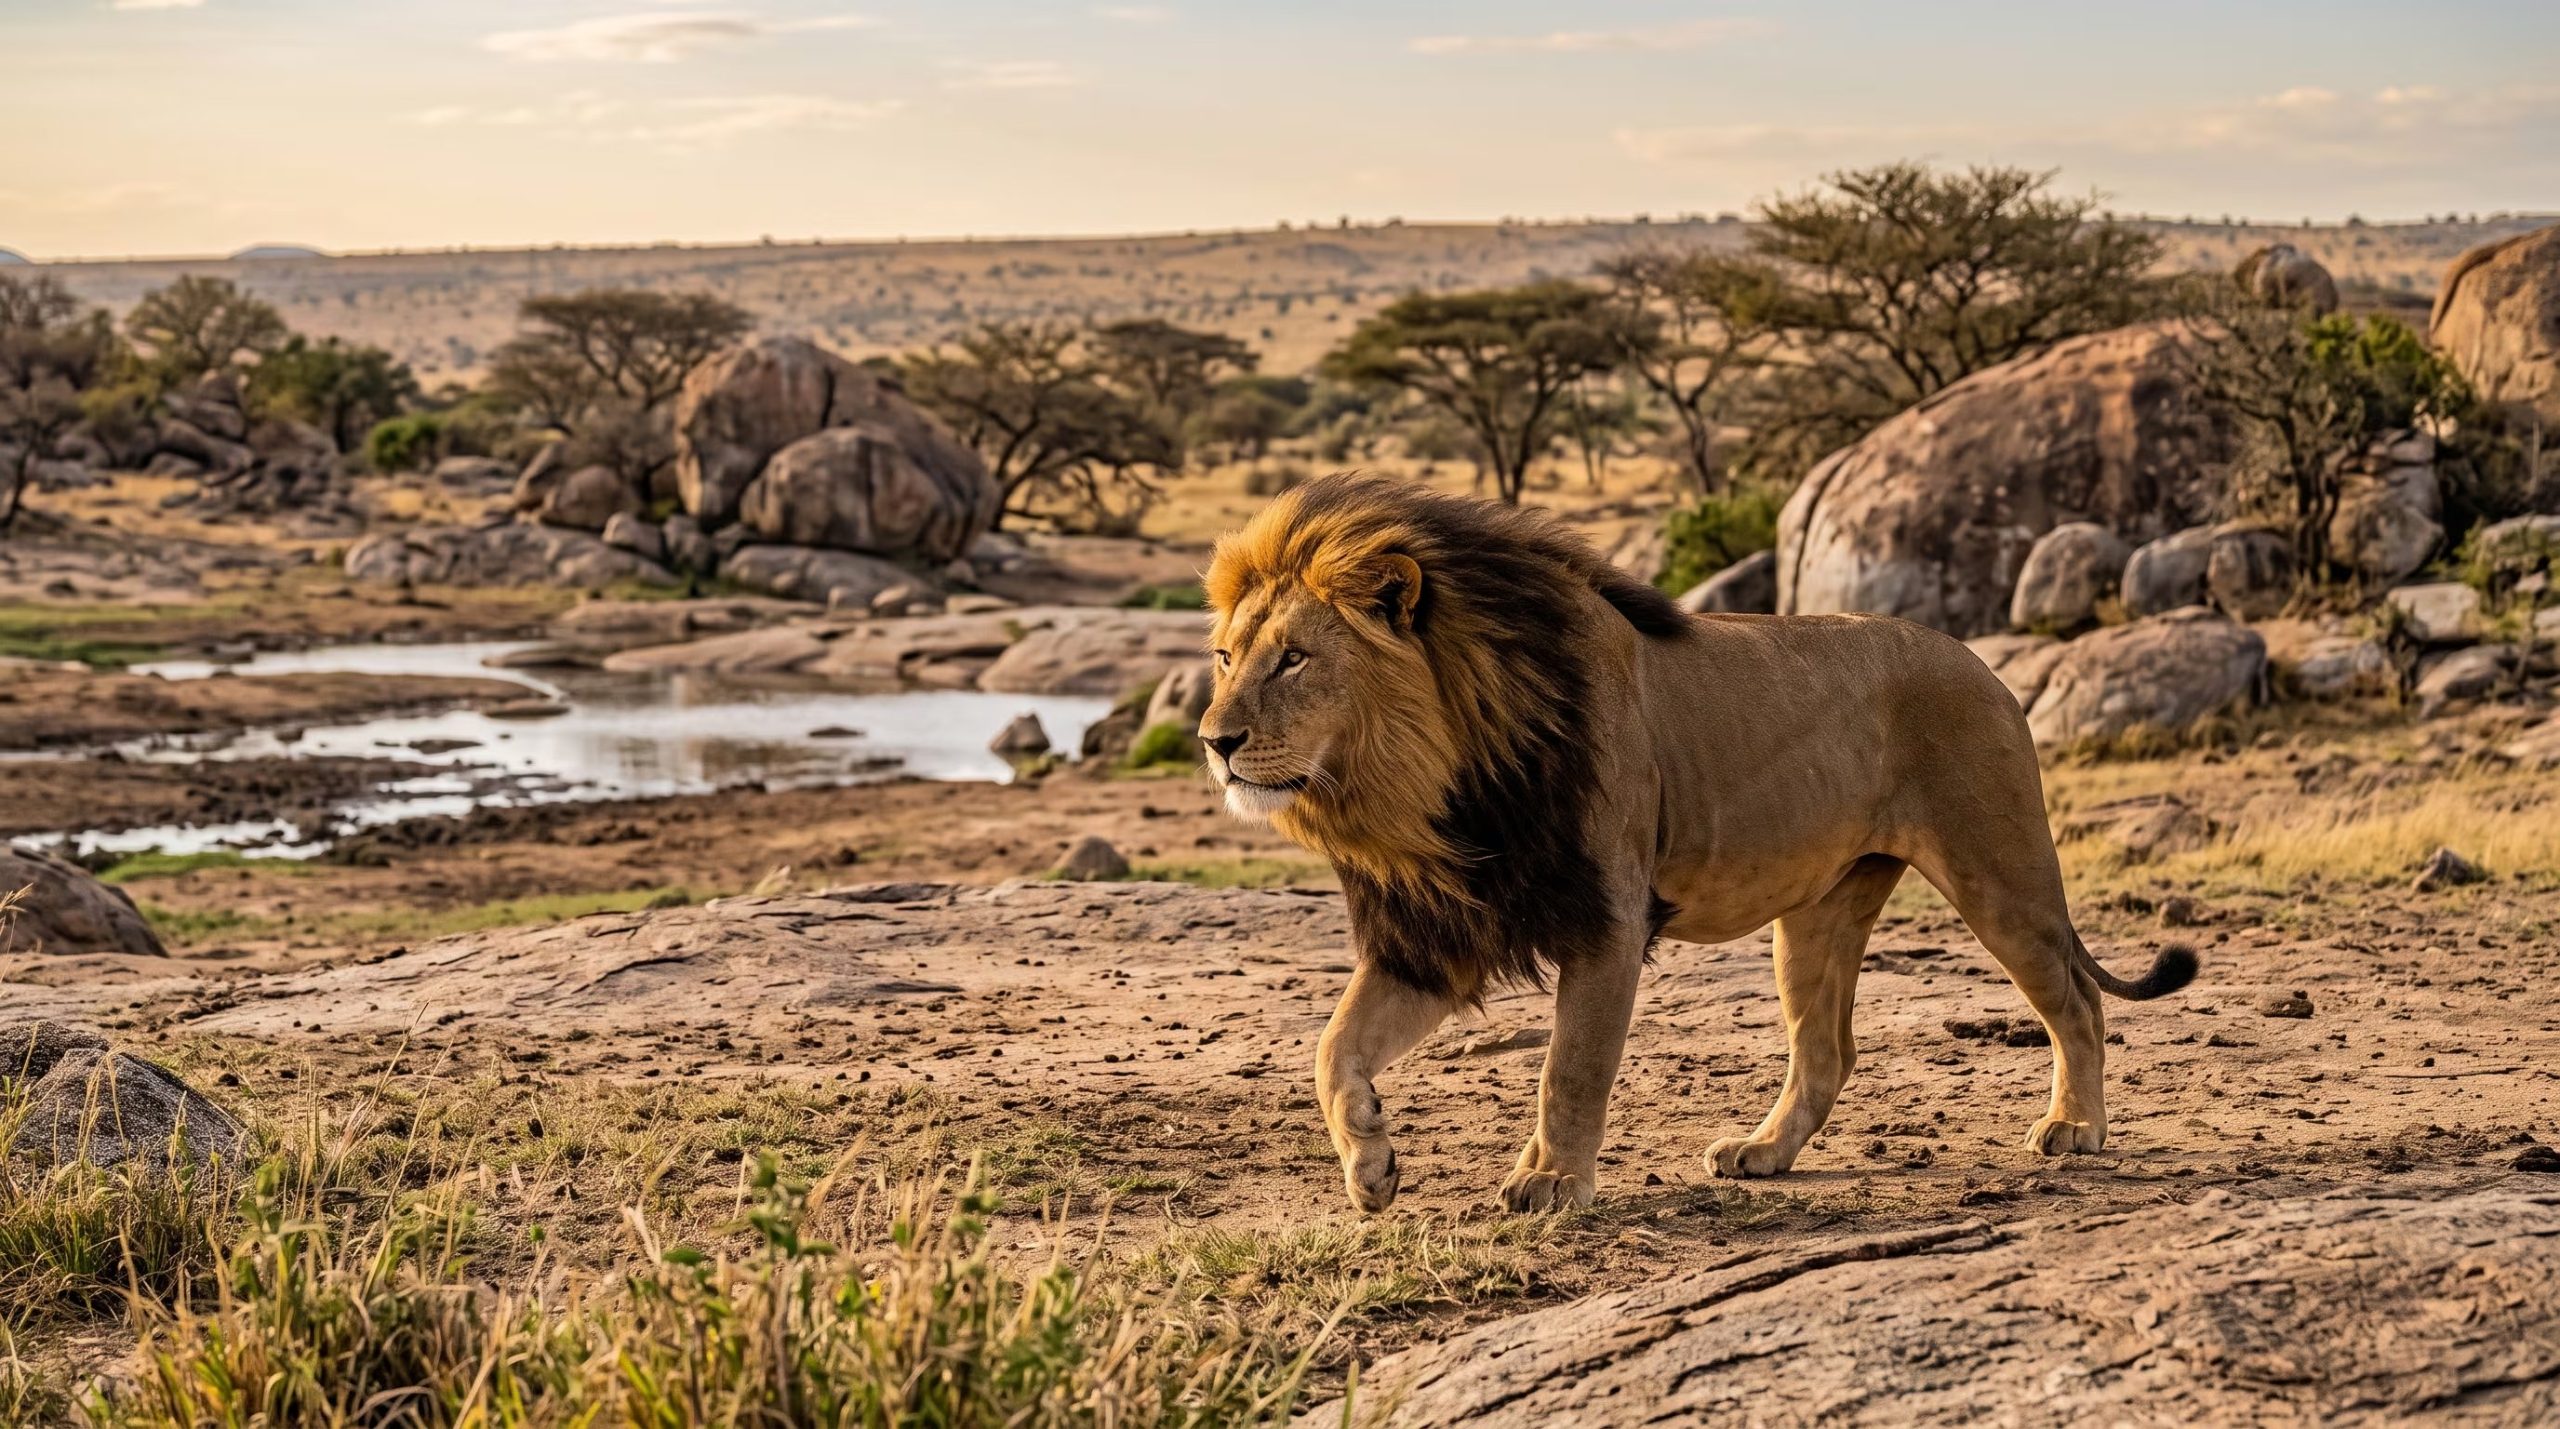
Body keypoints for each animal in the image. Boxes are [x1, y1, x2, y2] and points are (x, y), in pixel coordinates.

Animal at [1197, 474, 2196, 1214]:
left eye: (1294, 659)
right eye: (1225, 657)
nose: (1214, 740)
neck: (1438, 782)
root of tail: (1982, 663)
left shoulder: (1606, 915)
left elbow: (1571, 1066)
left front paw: (1550, 1181)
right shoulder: (1438, 930)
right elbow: (1332, 1049)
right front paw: (1371, 1166)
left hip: (1998, 870)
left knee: (2076, 999)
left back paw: (2077, 1128)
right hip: (1820, 912)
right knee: (1828, 1051)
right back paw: (1763, 1152)